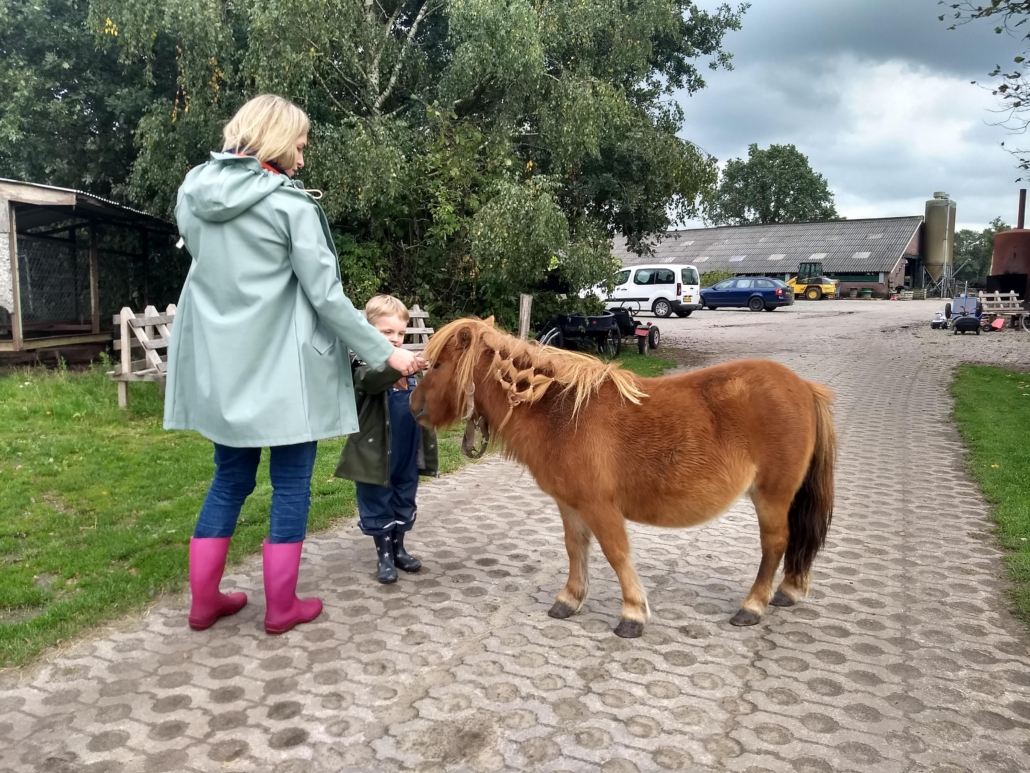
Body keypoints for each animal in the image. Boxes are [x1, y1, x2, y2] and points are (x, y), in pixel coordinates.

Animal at [409, 317, 836, 639]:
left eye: (437, 365)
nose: (413, 406)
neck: (560, 414)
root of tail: (804, 387)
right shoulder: (570, 505)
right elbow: (575, 549)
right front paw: (570, 599)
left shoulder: (600, 507)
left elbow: (617, 555)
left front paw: (632, 614)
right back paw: (787, 590)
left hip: (772, 495)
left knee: (775, 544)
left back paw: (753, 605)